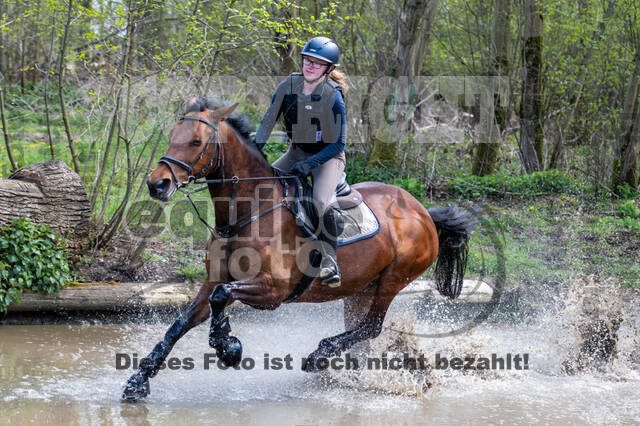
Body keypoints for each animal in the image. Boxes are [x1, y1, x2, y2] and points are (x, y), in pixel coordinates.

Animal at [121, 95, 476, 400]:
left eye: (196, 141)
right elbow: (182, 322)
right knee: (360, 331)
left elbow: (222, 296)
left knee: (372, 327)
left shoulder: (273, 291)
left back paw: (319, 356)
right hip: (361, 288)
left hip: (393, 279)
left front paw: (228, 347)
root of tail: (422, 211)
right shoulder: (214, 282)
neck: (248, 212)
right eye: (171, 136)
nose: (157, 184)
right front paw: (137, 383)